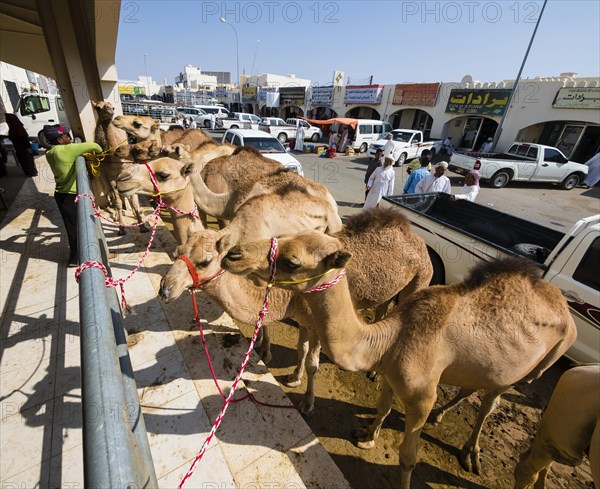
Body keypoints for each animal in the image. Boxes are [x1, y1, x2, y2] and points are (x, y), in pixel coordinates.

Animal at [92, 100, 147, 234]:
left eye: (111, 105)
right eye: (98, 108)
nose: (111, 110)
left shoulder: (129, 173)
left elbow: (133, 199)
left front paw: (142, 225)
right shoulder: (109, 177)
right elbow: (117, 201)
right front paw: (121, 228)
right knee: (114, 196)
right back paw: (118, 217)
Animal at [158, 208, 432, 414]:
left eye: (204, 262)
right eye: (179, 251)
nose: (165, 289)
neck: (289, 297)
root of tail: (417, 240)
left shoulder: (320, 327)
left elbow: (313, 363)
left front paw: (307, 403)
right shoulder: (303, 320)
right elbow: (301, 349)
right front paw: (294, 376)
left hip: (422, 277)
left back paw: (376, 373)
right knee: (382, 307)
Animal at [223, 234, 580, 488]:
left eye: (292, 261)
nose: (232, 254)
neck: (389, 339)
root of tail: (565, 310)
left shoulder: (421, 396)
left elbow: (408, 457)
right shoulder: (390, 372)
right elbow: (382, 406)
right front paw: (367, 436)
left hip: (541, 363)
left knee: (493, 401)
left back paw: (470, 453)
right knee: (475, 386)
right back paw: (442, 418)